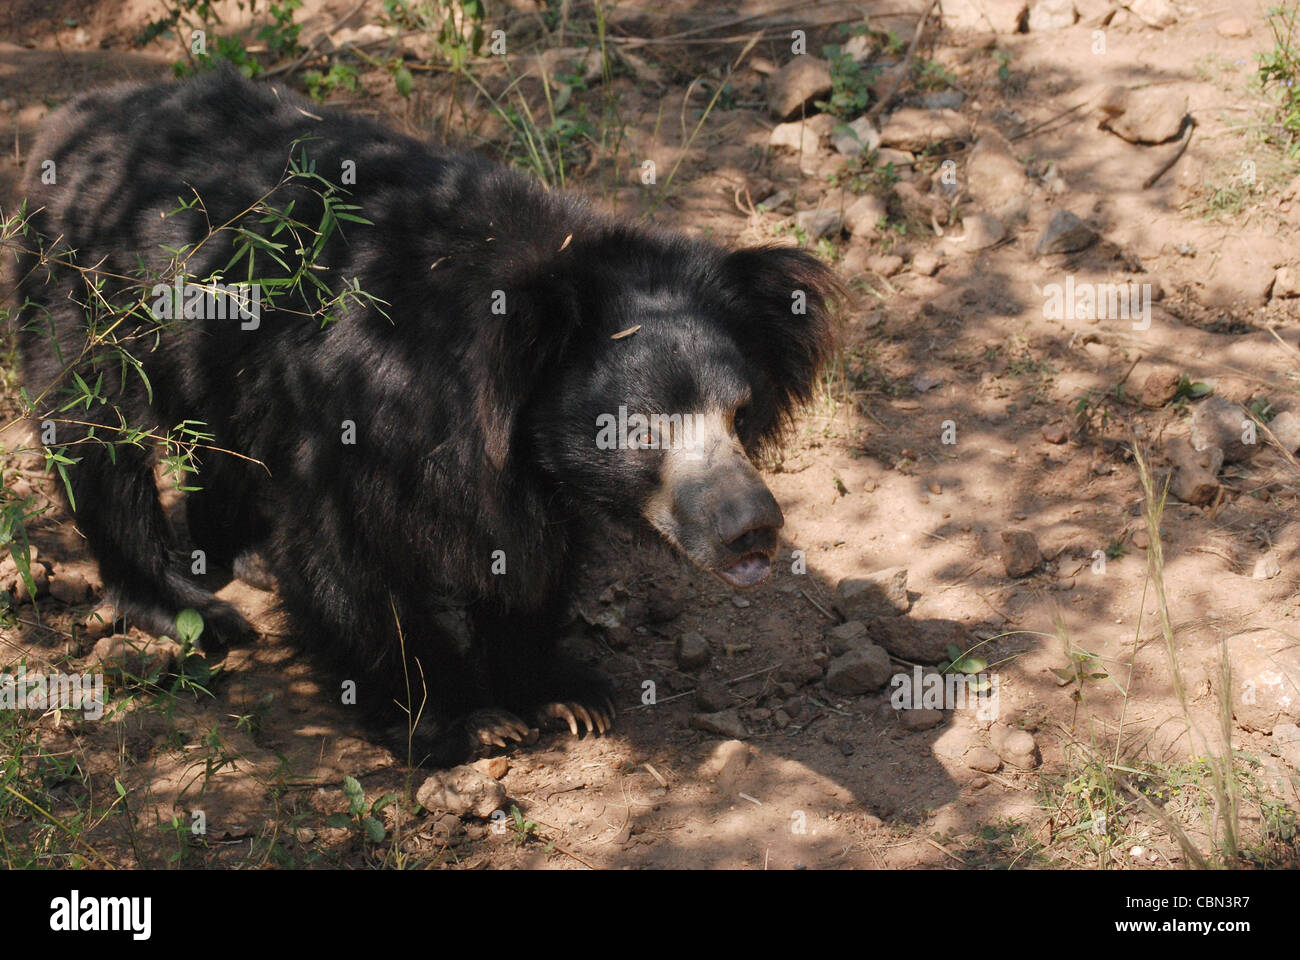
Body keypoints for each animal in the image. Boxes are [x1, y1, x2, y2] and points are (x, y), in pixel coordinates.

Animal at [17, 67, 832, 764]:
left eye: (740, 412)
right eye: (642, 427)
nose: (753, 527)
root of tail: (76, 116)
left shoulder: (529, 463)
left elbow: (531, 559)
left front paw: (564, 696)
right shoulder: (353, 413)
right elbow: (348, 559)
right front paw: (464, 721)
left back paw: (241, 555)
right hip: (84, 296)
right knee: (95, 444)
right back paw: (194, 610)